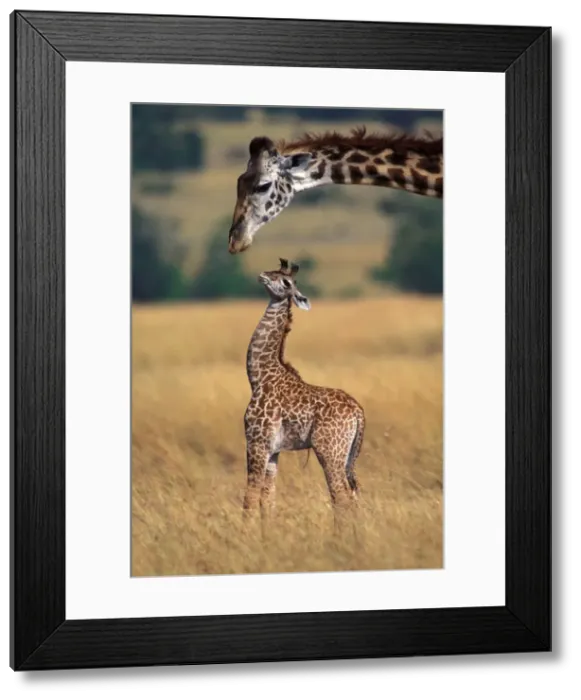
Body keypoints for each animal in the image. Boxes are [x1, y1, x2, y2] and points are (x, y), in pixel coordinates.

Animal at [242, 257, 365, 533]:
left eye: (286, 281)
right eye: (274, 272)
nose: (262, 275)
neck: (259, 376)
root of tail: (359, 413)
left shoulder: (256, 442)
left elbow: (250, 498)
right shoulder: (274, 450)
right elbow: (267, 500)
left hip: (329, 451)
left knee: (341, 497)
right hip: (346, 455)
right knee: (352, 496)